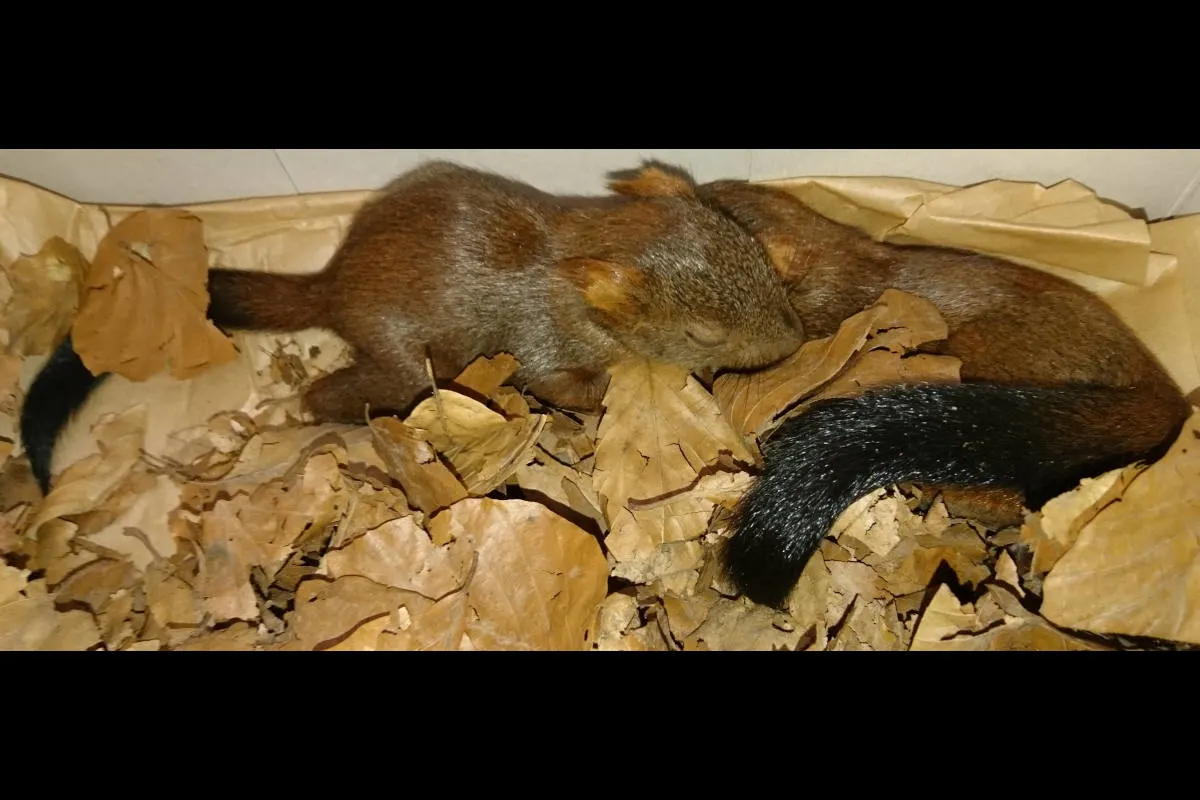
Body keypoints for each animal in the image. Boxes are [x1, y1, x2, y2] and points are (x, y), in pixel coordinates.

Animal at [20, 161, 806, 495]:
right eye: (701, 334)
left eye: (747, 246)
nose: (794, 340)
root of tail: (334, 284)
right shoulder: (542, 339)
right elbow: (560, 382)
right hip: (401, 364)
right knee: (344, 392)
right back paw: (312, 412)